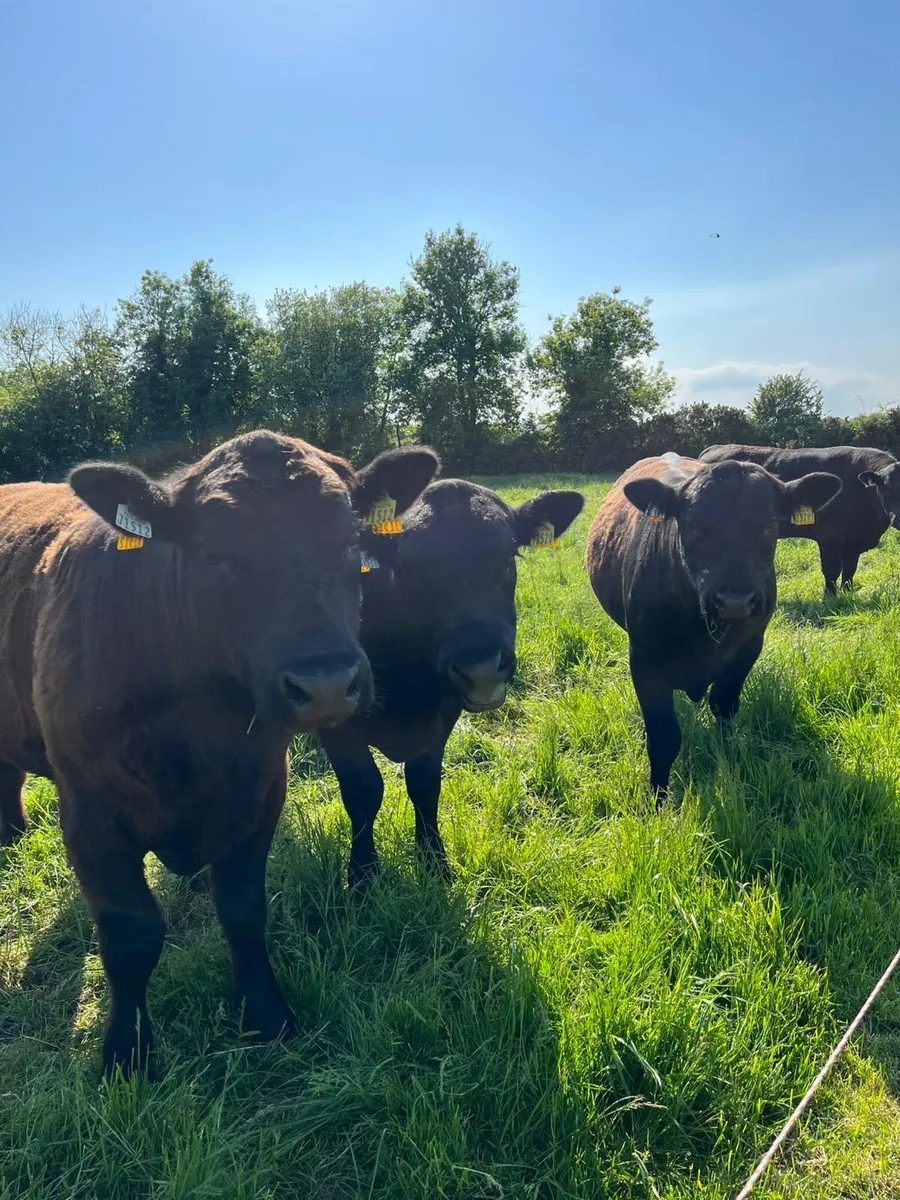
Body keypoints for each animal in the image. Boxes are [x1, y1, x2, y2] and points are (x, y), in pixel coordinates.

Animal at [0, 431, 439, 1077]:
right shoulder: (90, 812)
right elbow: (130, 935)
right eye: (214, 555)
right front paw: (127, 1054)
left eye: (349, 540)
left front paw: (266, 1015)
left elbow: (243, 908)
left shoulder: (259, 792)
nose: (326, 684)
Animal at [319, 479, 585, 892]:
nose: (482, 669)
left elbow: (424, 784)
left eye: (508, 557)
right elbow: (363, 791)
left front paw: (434, 861)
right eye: (409, 569)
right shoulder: (333, 715)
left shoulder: (444, 713)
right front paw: (362, 878)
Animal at [586, 453, 841, 795]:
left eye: (771, 524)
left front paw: (727, 755)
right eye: (693, 524)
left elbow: (723, 704)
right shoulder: (643, 658)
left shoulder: (749, 646)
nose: (735, 600)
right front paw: (658, 797)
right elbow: (663, 737)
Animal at [699, 444, 898, 596]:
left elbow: (849, 570)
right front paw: (829, 598)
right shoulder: (830, 538)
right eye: (887, 489)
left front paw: (847, 593)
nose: (898, 519)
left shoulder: (853, 542)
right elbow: (832, 570)